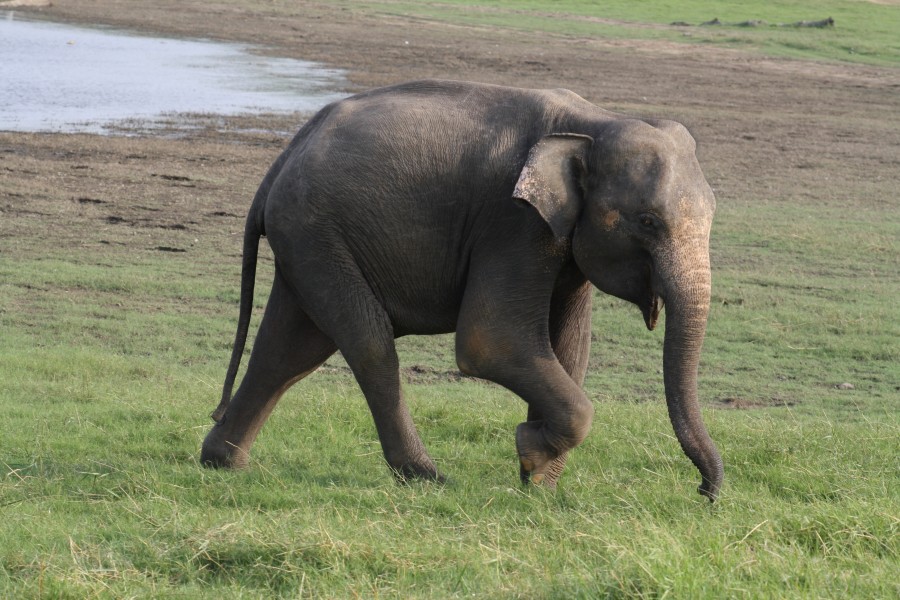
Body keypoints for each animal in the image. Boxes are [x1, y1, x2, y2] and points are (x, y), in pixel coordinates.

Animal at [199, 79, 724, 502]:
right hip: (316, 232)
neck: (594, 121)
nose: (704, 493)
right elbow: (490, 342)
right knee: (368, 344)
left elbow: (569, 351)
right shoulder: (512, 223)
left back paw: (221, 464)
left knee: (290, 348)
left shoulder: (562, 240)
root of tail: (283, 156)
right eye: (648, 221)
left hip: (307, 239)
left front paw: (540, 487)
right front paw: (530, 452)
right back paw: (426, 477)